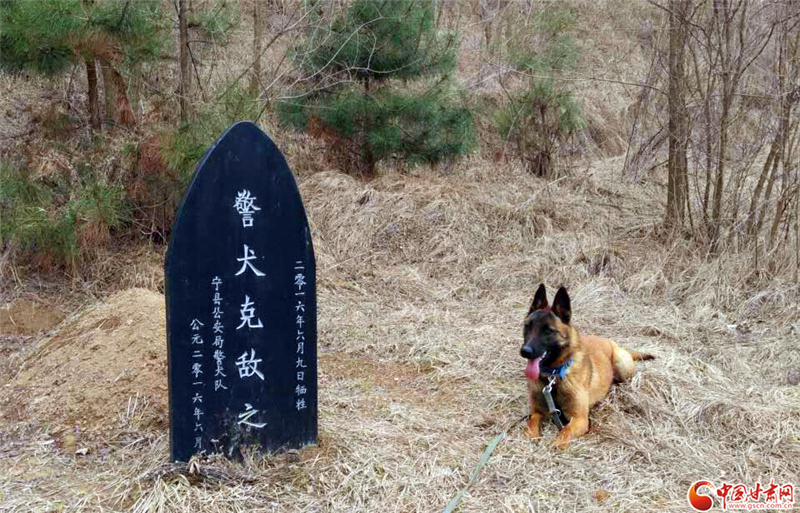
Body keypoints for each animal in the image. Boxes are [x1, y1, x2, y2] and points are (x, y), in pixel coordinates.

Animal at [521, 284, 654, 449]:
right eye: (527, 327)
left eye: (548, 331)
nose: (525, 351)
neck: (553, 376)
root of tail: (610, 341)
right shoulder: (537, 412)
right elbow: (530, 424)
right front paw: (530, 439)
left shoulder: (579, 419)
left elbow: (565, 432)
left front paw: (556, 444)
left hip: (621, 365)